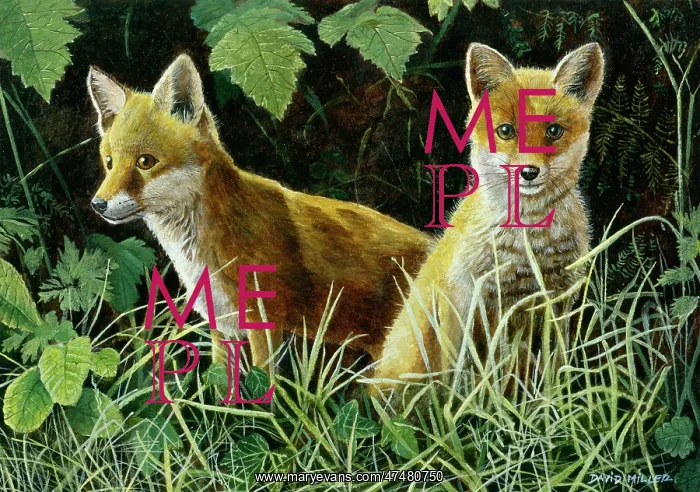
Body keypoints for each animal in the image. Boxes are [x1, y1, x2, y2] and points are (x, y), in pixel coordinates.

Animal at [87, 54, 434, 371]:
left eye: (145, 162)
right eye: (109, 162)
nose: (97, 204)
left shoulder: (265, 327)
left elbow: (264, 390)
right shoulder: (223, 328)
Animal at [371, 43, 604, 391]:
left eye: (553, 131)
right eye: (506, 131)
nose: (529, 172)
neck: (527, 247)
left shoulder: (557, 300)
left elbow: (555, 369)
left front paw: (556, 403)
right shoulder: (466, 299)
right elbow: (459, 377)